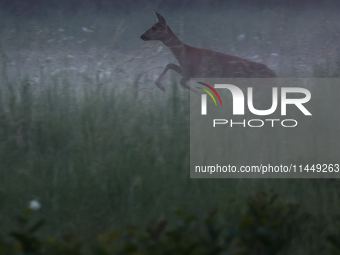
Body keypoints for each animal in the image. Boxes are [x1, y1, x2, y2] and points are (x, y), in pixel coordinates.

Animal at [141, 11, 276, 92]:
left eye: (154, 28)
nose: (142, 36)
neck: (184, 53)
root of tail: (274, 73)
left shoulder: (198, 72)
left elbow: (182, 81)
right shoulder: (186, 70)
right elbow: (170, 65)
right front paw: (161, 86)